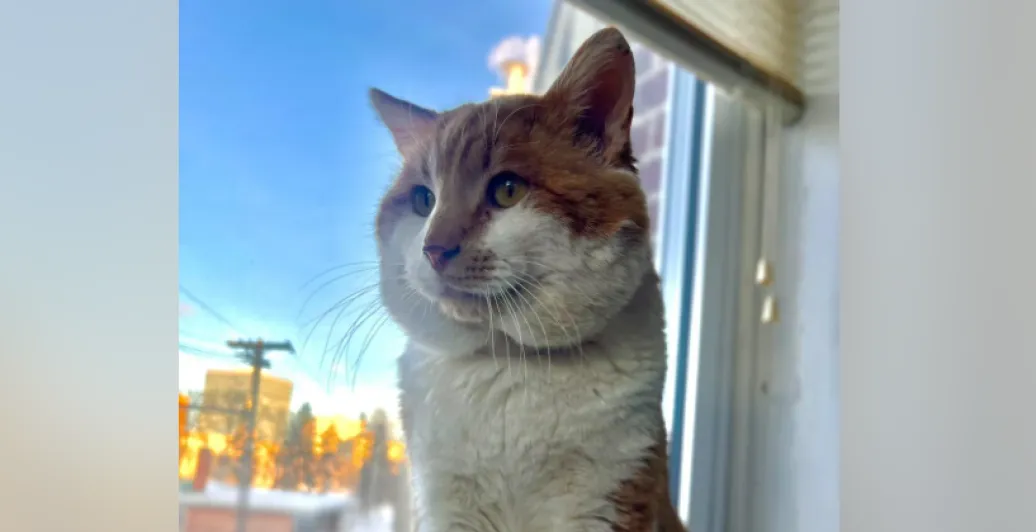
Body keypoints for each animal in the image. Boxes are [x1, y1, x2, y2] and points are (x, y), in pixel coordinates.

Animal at [369, 28, 684, 532]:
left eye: (507, 190)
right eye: (423, 200)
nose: (433, 248)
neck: (507, 362)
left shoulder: (612, 496)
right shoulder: (444, 507)